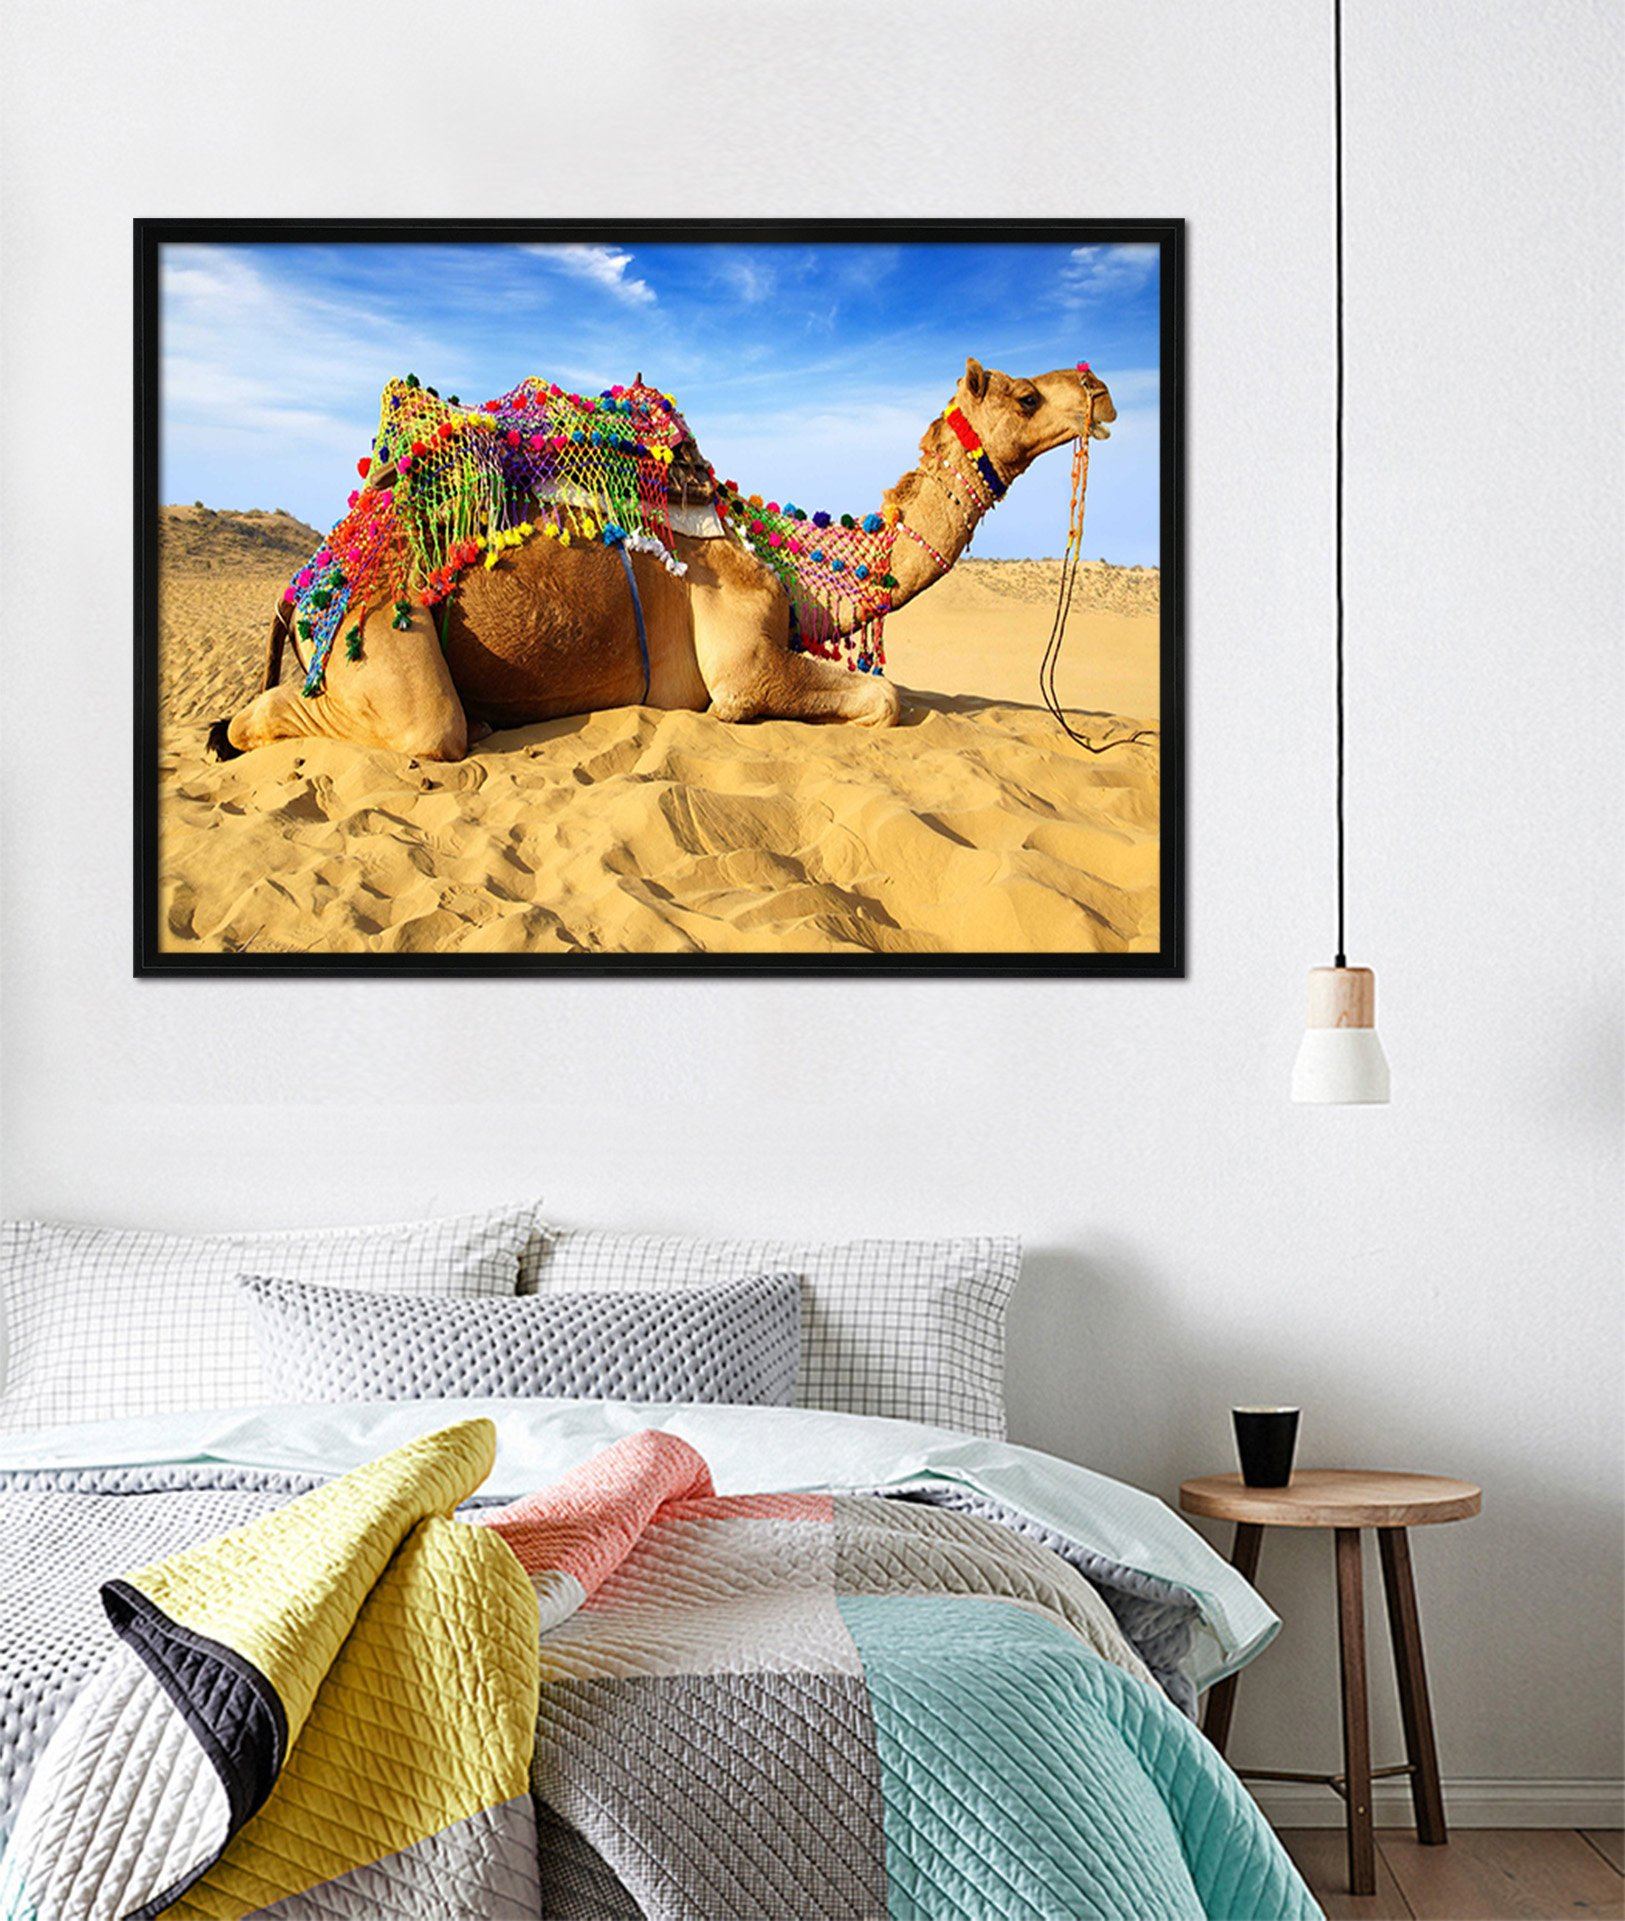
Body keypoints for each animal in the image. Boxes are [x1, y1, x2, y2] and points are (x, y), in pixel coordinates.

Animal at [209, 358, 1116, 763]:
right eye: (1024, 396)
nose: (1098, 388)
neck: (793, 568)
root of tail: (309, 578)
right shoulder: (744, 656)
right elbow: (881, 699)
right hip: (374, 626)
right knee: (392, 724)